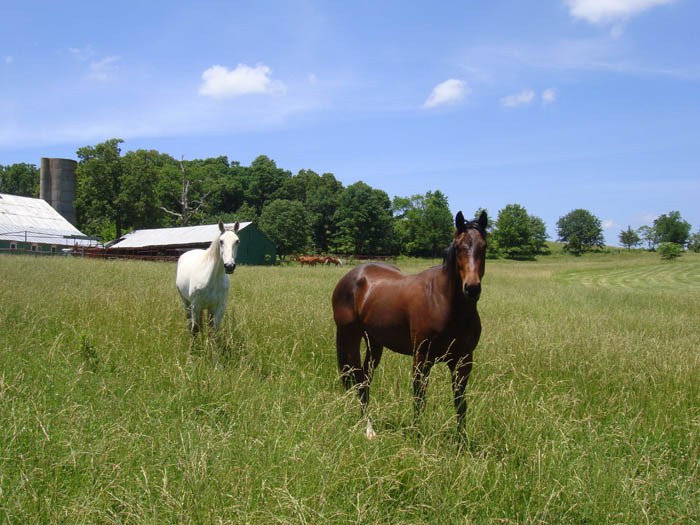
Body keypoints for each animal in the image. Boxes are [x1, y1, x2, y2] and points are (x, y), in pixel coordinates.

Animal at [332, 210, 487, 439]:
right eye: (459, 246)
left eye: (483, 246)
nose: (472, 288)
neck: (444, 302)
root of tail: (351, 276)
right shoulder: (421, 358)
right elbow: (419, 398)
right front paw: (416, 434)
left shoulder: (463, 361)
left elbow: (460, 403)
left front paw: (462, 442)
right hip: (350, 337)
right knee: (358, 379)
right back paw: (368, 427)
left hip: (374, 342)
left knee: (366, 379)